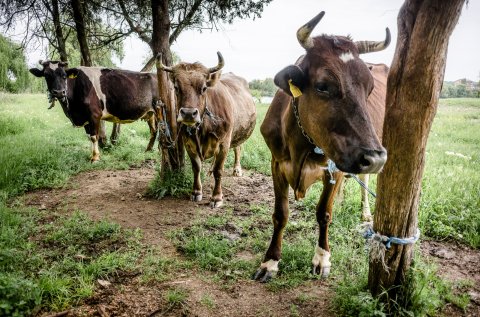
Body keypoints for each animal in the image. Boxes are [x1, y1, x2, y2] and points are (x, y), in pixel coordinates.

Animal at [31, 60, 160, 160]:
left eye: (64, 75)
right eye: (46, 75)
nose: (59, 92)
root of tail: (155, 74)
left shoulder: (94, 115)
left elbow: (94, 136)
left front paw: (95, 157)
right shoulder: (85, 118)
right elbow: (89, 137)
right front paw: (91, 155)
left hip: (159, 110)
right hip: (150, 113)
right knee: (153, 131)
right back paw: (148, 150)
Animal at [157, 52, 255, 207]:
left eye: (203, 88)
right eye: (177, 88)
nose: (188, 113)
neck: (202, 129)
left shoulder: (224, 143)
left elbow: (218, 171)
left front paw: (217, 197)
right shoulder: (188, 142)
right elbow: (196, 167)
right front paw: (196, 191)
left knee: (238, 148)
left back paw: (237, 169)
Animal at [253, 10, 388, 282]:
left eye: (370, 89)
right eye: (323, 86)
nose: (375, 158)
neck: (301, 146)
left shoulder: (334, 168)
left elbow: (324, 213)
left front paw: (322, 258)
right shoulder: (276, 163)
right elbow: (280, 214)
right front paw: (270, 261)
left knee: (364, 179)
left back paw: (366, 212)